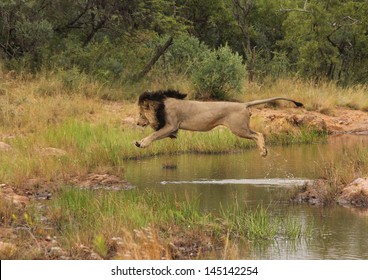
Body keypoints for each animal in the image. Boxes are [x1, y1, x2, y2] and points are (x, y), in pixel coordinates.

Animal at [134, 89, 302, 156]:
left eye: (141, 114)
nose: (137, 123)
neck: (161, 104)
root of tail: (244, 104)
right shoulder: (172, 130)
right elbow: (157, 135)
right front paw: (139, 142)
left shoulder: (171, 125)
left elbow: (154, 134)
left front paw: (143, 143)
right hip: (241, 128)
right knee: (257, 134)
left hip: (238, 128)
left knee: (258, 134)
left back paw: (263, 152)